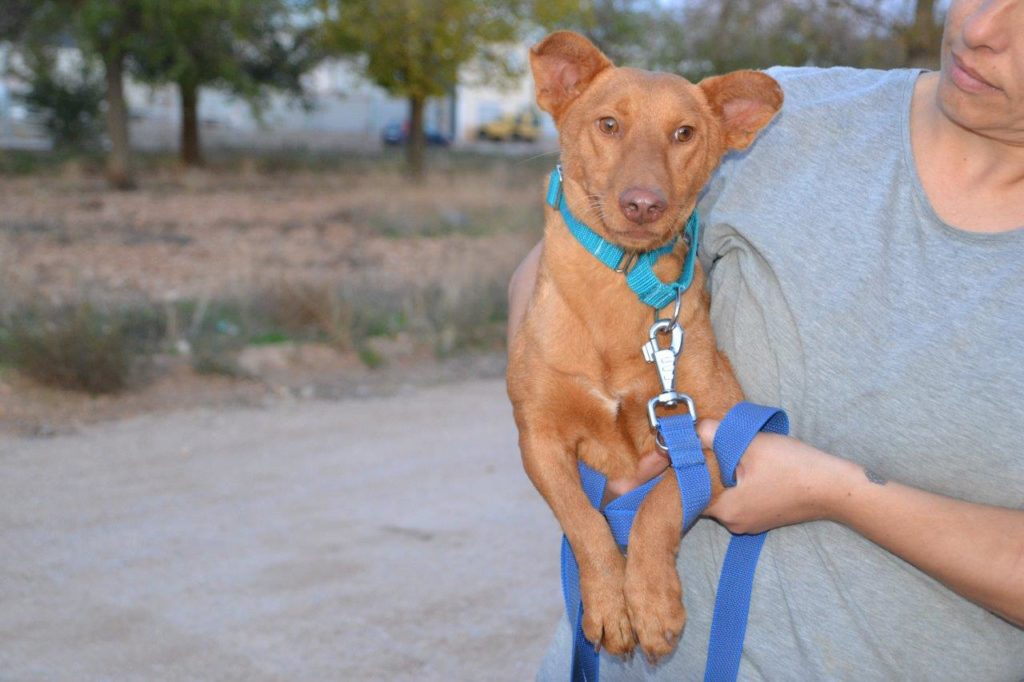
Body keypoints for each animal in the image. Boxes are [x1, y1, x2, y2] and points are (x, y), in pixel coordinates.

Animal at [505, 30, 782, 659]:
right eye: (608, 124)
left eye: (685, 134)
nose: (643, 203)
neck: (617, 292)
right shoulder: (539, 439)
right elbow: (583, 522)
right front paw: (611, 602)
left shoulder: (714, 430)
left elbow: (660, 504)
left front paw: (652, 602)